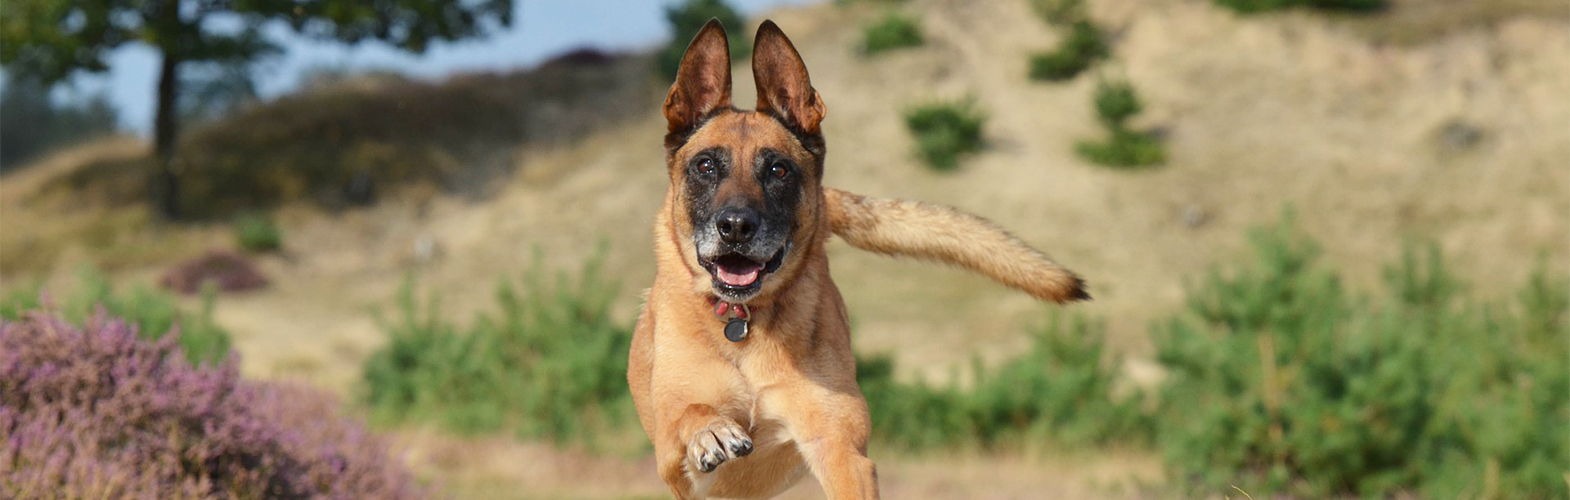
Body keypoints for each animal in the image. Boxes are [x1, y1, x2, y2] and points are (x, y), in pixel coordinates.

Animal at [631, 17, 1086, 496]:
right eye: (705, 166)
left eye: (778, 170)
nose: (736, 227)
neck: (744, 323)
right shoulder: (670, 456)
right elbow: (690, 412)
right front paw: (711, 429)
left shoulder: (840, 451)